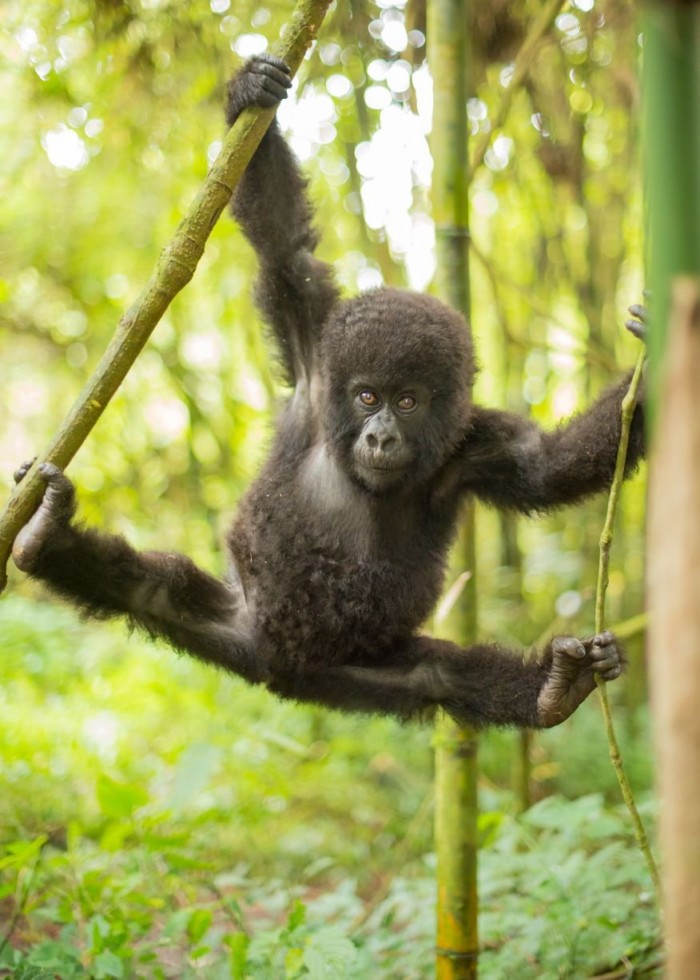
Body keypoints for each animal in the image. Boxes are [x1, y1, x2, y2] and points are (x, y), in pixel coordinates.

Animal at [12, 53, 644, 728]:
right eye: (367, 397)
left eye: (408, 401)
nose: (382, 435)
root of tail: (278, 670)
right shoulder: (316, 361)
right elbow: (286, 252)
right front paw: (252, 93)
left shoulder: (473, 446)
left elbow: (544, 466)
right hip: (240, 619)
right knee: (153, 589)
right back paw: (46, 540)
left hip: (358, 671)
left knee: (441, 676)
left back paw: (553, 688)